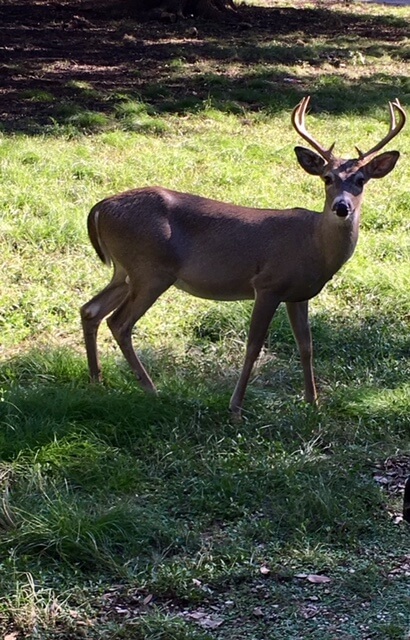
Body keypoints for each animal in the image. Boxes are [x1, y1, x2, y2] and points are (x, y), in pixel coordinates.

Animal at [81, 95, 406, 416]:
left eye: (361, 180)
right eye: (327, 178)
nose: (341, 207)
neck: (313, 245)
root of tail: (99, 207)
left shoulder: (298, 294)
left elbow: (306, 344)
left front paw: (313, 402)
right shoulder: (268, 284)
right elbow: (254, 345)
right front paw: (236, 406)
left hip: (125, 270)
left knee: (91, 309)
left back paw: (97, 381)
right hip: (150, 270)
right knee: (119, 322)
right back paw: (150, 389)